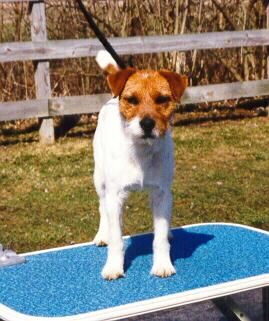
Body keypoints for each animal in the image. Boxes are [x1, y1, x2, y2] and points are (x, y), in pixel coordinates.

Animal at [92, 50, 186, 280]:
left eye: (162, 99)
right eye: (131, 100)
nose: (147, 124)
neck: (141, 152)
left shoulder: (161, 193)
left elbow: (159, 237)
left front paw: (162, 264)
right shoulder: (115, 195)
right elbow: (117, 239)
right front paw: (113, 267)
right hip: (99, 181)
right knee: (102, 208)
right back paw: (102, 234)